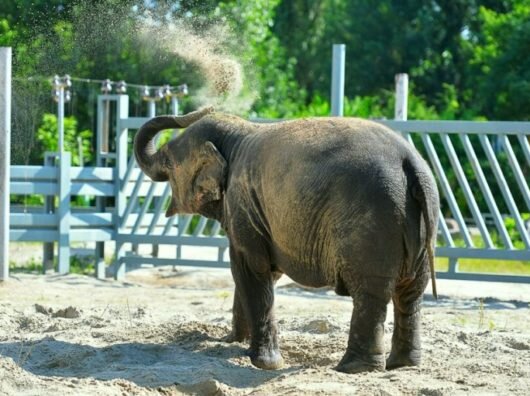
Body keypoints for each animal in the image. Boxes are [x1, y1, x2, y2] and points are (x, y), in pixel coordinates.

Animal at [132, 106, 438, 372]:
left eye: (169, 161)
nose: (202, 107)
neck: (239, 133)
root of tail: (410, 163)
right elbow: (261, 273)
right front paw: (234, 344)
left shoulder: (243, 202)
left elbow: (250, 267)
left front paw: (265, 363)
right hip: (420, 224)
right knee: (411, 292)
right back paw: (403, 365)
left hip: (371, 226)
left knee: (370, 293)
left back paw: (353, 369)